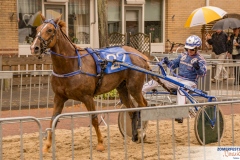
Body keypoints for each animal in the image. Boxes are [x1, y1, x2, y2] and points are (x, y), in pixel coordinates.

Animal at [29, 14, 159, 153]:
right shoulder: (59, 97)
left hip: (134, 87)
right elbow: (53, 120)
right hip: (122, 88)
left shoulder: (87, 97)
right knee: (132, 110)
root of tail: (141, 55)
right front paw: (47, 145)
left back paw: (141, 133)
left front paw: (100, 144)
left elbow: (94, 119)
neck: (72, 65)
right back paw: (134, 136)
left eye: (49, 30)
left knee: (143, 105)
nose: (34, 48)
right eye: (37, 29)